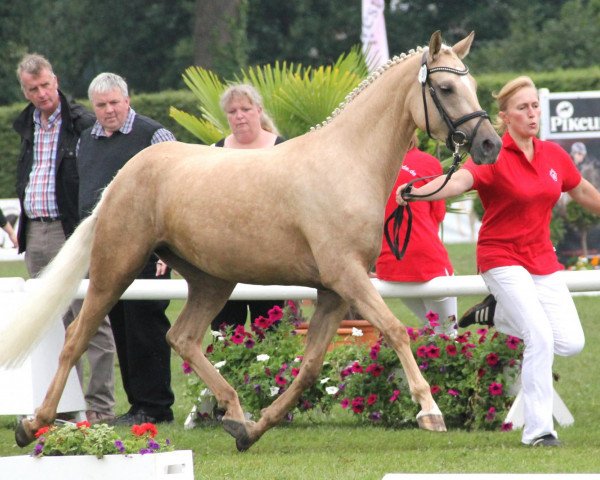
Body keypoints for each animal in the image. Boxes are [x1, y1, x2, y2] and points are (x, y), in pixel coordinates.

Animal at [0, 31, 500, 452]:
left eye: (474, 85)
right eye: (447, 89)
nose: (490, 145)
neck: (347, 162)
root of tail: (123, 176)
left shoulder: (334, 291)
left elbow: (309, 368)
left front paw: (254, 431)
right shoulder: (348, 276)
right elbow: (395, 331)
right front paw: (430, 411)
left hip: (210, 281)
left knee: (181, 338)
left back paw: (235, 414)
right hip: (115, 268)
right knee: (76, 339)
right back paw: (32, 424)